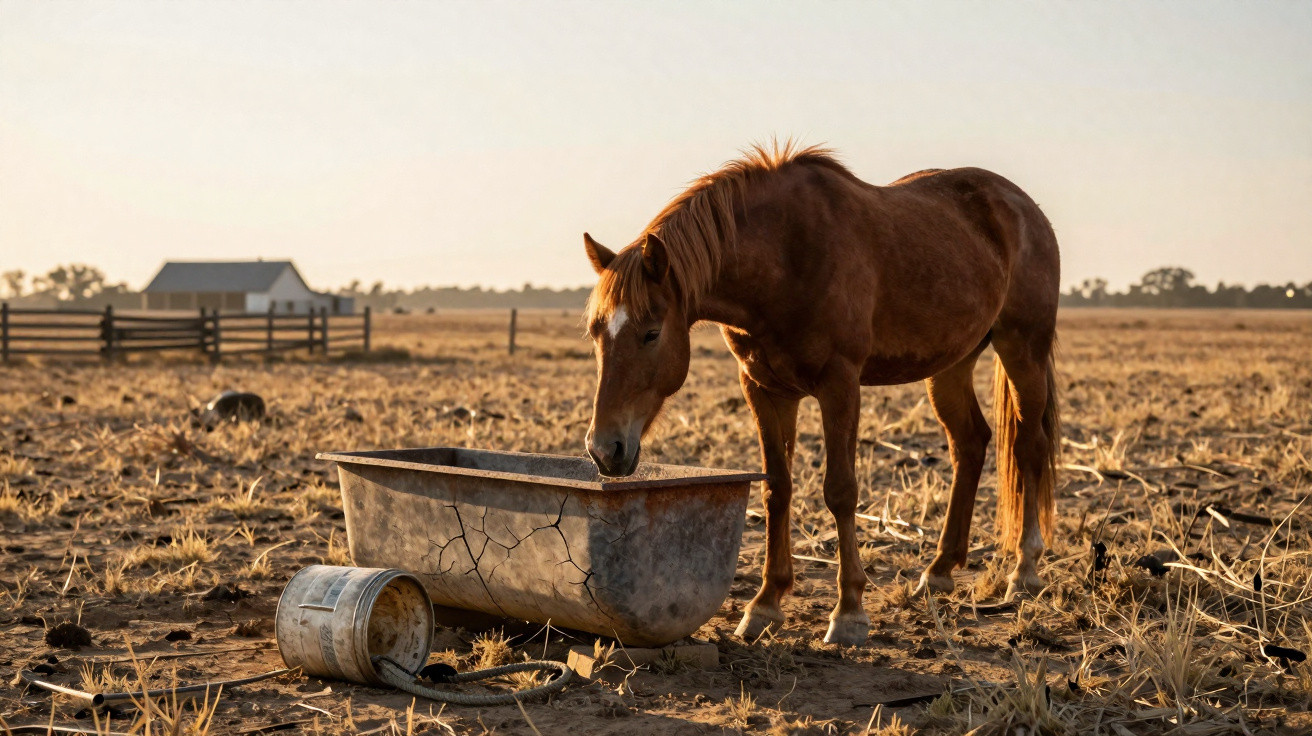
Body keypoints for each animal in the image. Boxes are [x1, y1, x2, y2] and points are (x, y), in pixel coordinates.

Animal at [581, 142, 1060, 646]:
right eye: (595, 332)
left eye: (651, 333)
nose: (604, 450)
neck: (786, 255)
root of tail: (1024, 208)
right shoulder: (765, 389)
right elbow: (777, 488)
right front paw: (765, 603)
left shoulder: (839, 383)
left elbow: (841, 491)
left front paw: (849, 611)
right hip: (951, 366)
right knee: (970, 444)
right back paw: (940, 568)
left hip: (1022, 348)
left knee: (1029, 445)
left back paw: (1025, 569)